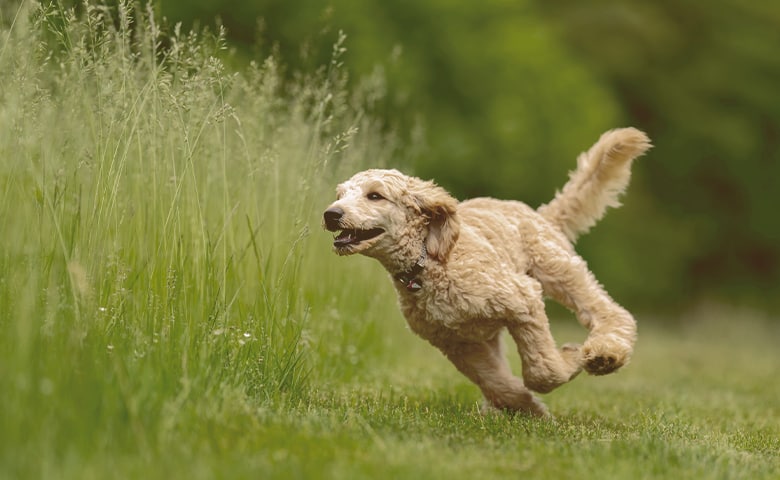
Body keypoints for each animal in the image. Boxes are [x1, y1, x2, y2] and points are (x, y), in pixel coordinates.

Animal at [322, 127, 652, 416]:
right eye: (339, 195)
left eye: (375, 196)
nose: (330, 214)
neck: (428, 265)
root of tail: (538, 214)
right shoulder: (457, 343)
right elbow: (495, 380)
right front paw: (525, 408)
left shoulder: (523, 299)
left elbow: (542, 371)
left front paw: (569, 360)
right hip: (492, 330)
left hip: (558, 269)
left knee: (609, 311)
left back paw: (606, 355)